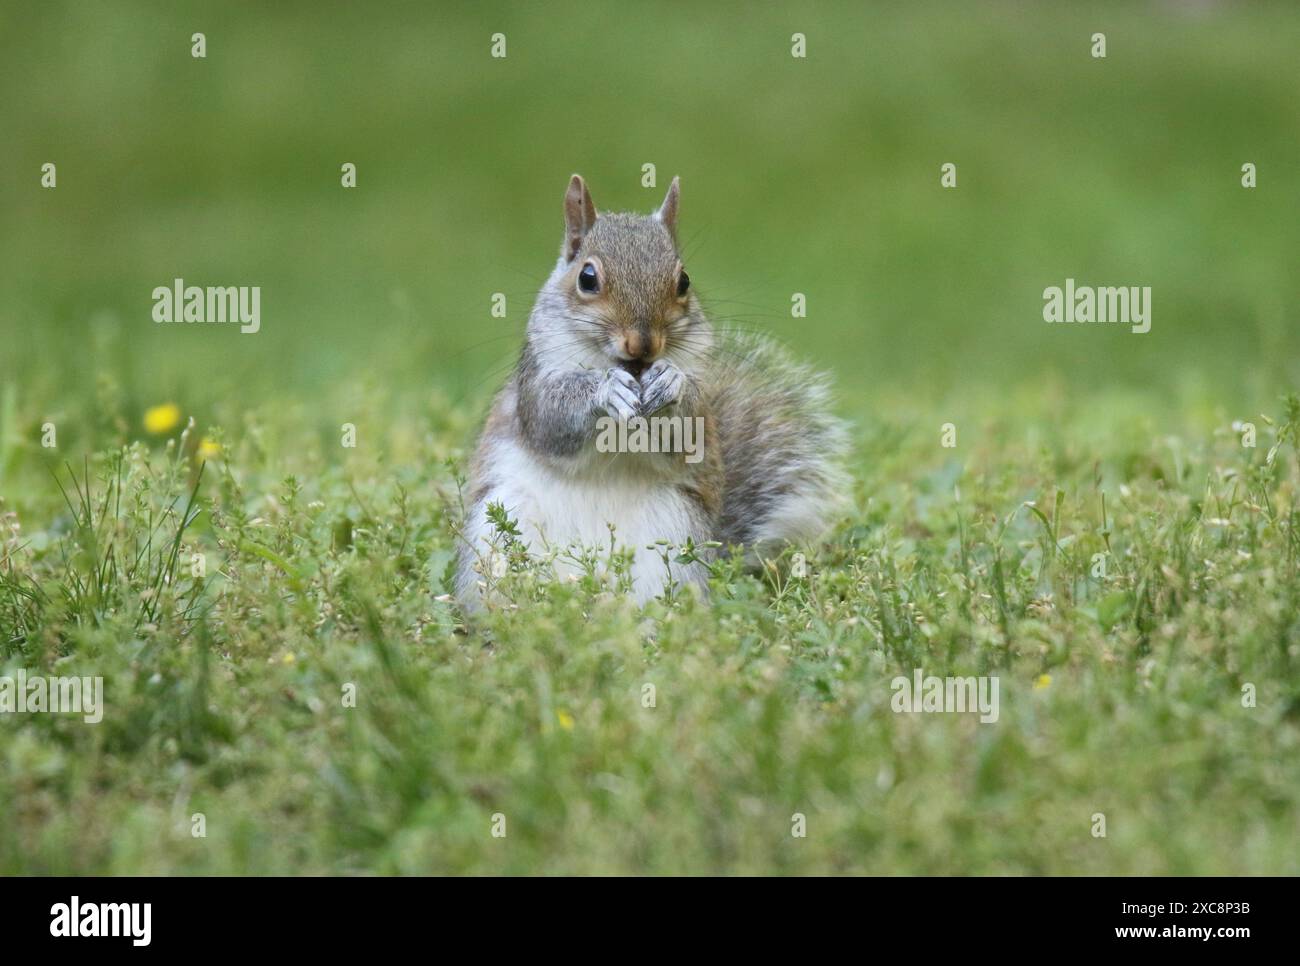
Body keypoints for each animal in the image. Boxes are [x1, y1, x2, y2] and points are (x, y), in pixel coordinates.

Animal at [456, 174, 847, 608]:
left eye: (684, 281)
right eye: (587, 278)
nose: (643, 345)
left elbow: (688, 434)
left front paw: (671, 383)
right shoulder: (536, 378)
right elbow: (550, 421)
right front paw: (605, 390)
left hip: (674, 539)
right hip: (497, 531)